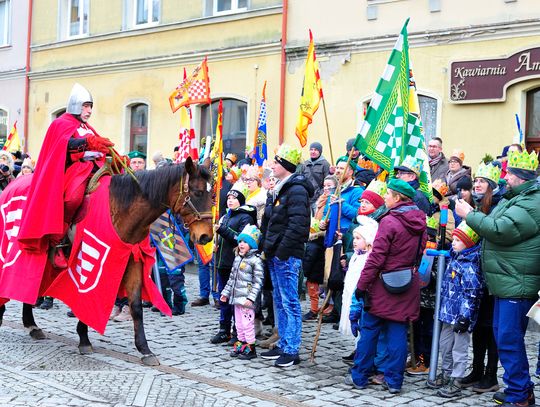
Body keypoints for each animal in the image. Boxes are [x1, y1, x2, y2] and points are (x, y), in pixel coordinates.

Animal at [0, 157, 213, 366]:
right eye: (198, 192)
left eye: (212, 196)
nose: (206, 237)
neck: (122, 209)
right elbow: (85, 299)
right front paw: (84, 339)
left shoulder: (133, 261)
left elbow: (136, 307)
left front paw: (144, 349)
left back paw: (31, 325)